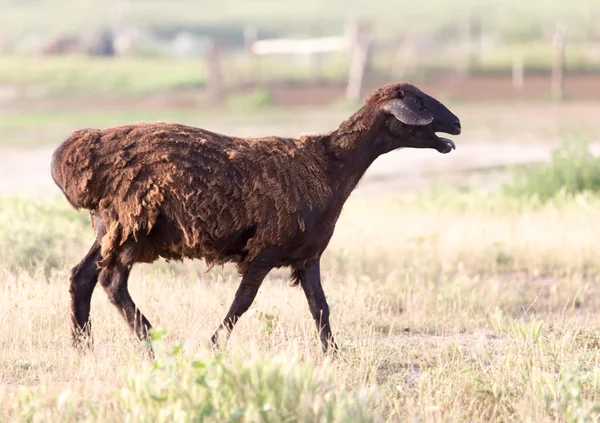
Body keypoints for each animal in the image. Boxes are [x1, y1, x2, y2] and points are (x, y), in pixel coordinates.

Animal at [51, 83, 462, 354]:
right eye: (419, 100)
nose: (456, 124)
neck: (330, 165)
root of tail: (73, 154)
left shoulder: (308, 255)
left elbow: (320, 307)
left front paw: (334, 354)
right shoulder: (266, 250)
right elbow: (242, 302)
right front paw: (214, 345)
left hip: (109, 228)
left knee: (81, 277)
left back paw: (82, 347)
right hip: (132, 225)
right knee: (112, 282)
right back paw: (150, 341)